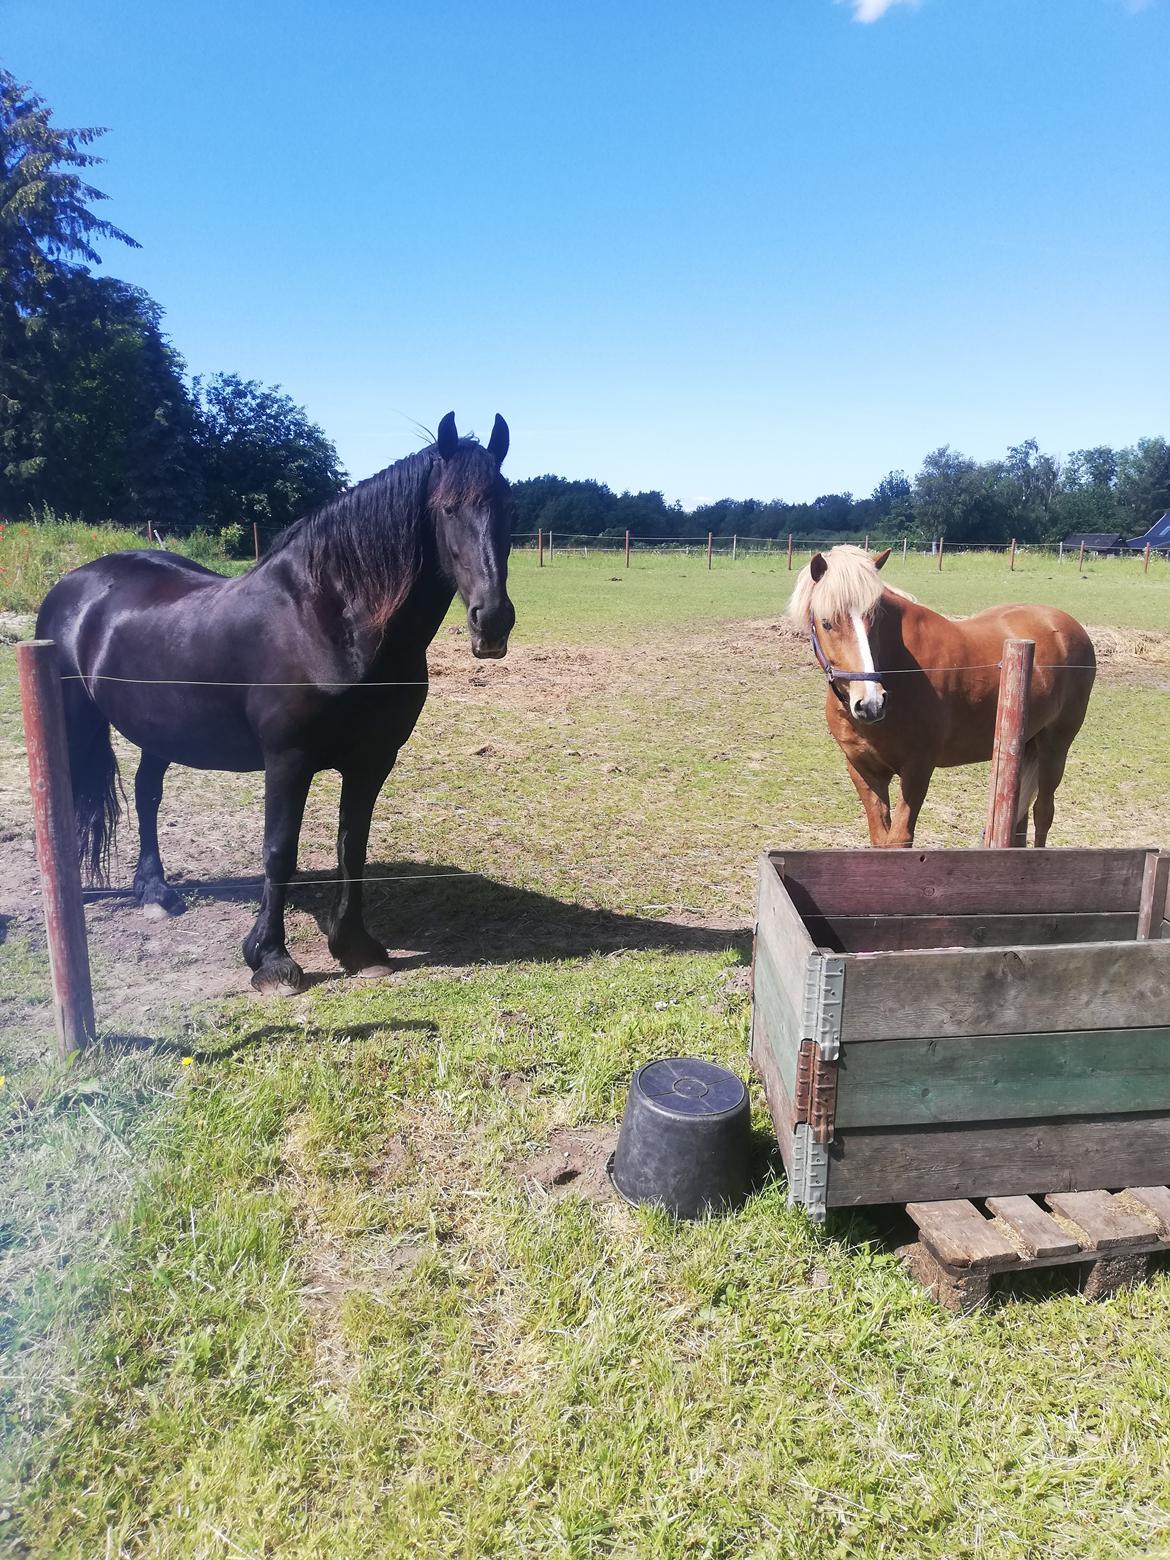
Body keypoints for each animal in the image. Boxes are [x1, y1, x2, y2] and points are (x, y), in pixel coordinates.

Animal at [37, 414, 511, 992]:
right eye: (446, 509)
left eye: (509, 506)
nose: (492, 621)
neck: (329, 622)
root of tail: (76, 582)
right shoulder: (288, 761)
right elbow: (279, 850)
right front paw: (270, 957)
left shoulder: (373, 761)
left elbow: (352, 846)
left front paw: (356, 946)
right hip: (74, 718)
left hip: (161, 729)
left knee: (148, 794)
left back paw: (153, 893)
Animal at [789, 542, 1098, 848]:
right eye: (827, 623)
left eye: (875, 619)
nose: (871, 704)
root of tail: (1065, 624)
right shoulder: (864, 770)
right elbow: (881, 837)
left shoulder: (918, 768)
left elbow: (899, 839)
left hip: (1055, 746)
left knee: (1043, 812)